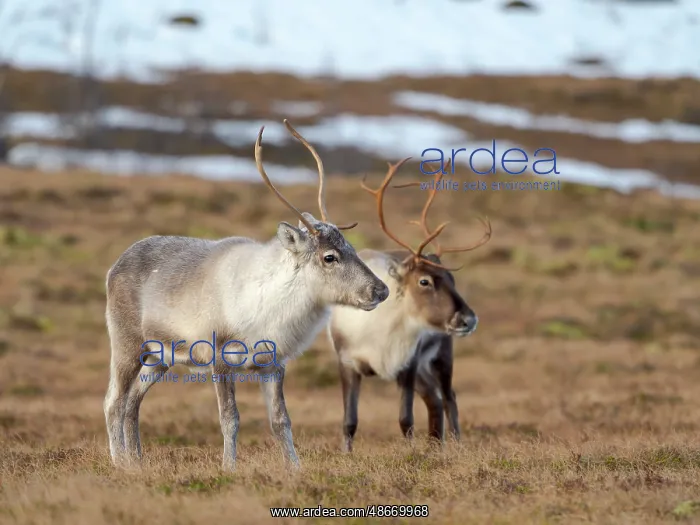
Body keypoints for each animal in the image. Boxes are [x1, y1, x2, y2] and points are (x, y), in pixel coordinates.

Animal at [103, 119, 390, 472]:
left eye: (350, 247)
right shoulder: (219, 359)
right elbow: (230, 418)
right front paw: (229, 468)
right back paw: (120, 463)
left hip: (160, 358)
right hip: (127, 345)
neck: (270, 304)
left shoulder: (273, 364)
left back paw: (138, 462)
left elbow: (281, 420)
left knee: (133, 401)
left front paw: (295, 468)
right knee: (114, 401)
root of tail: (114, 267)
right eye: (329, 257)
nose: (381, 290)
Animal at [327, 158, 491, 452]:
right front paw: (346, 454)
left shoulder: (408, 365)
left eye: (452, 278)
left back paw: (453, 444)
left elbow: (406, 419)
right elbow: (349, 421)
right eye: (424, 281)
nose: (469, 319)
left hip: (441, 356)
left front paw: (411, 452)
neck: (379, 329)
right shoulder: (347, 362)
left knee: (448, 396)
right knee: (434, 398)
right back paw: (436, 445)